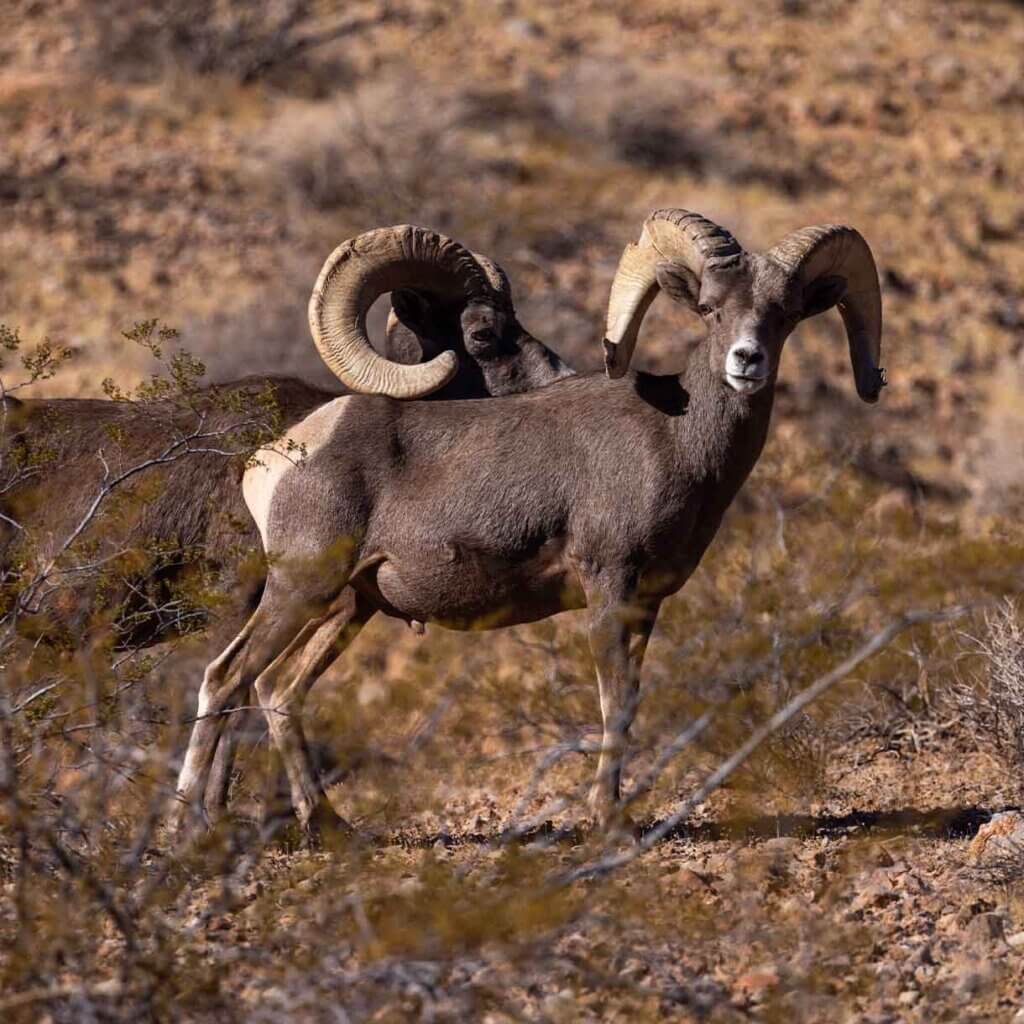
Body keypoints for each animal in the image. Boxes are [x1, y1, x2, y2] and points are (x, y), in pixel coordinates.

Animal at [173, 208, 885, 837]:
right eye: (710, 309)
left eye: (784, 316)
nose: (746, 361)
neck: (677, 441)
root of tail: (276, 455)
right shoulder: (608, 587)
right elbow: (612, 704)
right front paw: (609, 824)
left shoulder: (646, 605)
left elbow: (630, 702)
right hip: (300, 588)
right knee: (225, 678)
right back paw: (191, 827)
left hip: (351, 606)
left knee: (277, 689)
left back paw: (329, 825)